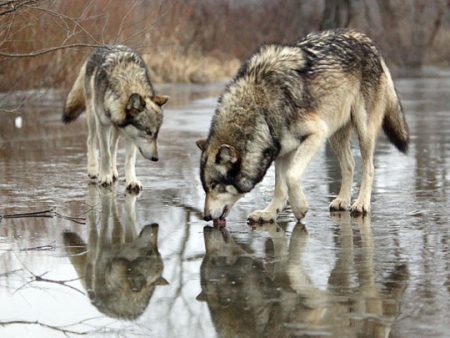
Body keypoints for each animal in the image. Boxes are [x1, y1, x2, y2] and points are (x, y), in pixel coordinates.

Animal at [62, 45, 169, 191]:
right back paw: (94, 169)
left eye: (156, 134)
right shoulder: (103, 125)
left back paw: (113, 171)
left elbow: (129, 159)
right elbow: (105, 153)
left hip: (117, 129)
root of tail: (99, 47)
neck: (128, 81)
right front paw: (105, 176)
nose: (156, 158)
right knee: (91, 141)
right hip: (93, 117)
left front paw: (131, 180)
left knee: (113, 147)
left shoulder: (131, 134)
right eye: (148, 132)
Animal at [197, 29, 408, 223]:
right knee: (349, 164)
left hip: (362, 131)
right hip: (335, 135)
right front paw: (269, 213)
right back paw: (342, 200)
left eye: (214, 185)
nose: (206, 217)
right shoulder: (282, 149)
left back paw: (361, 203)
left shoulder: (316, 134)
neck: (260, 106)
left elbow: (291, 177)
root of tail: (365, 39)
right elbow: (280, 188)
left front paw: (299, 208)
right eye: (205, 187)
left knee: (368, 167)